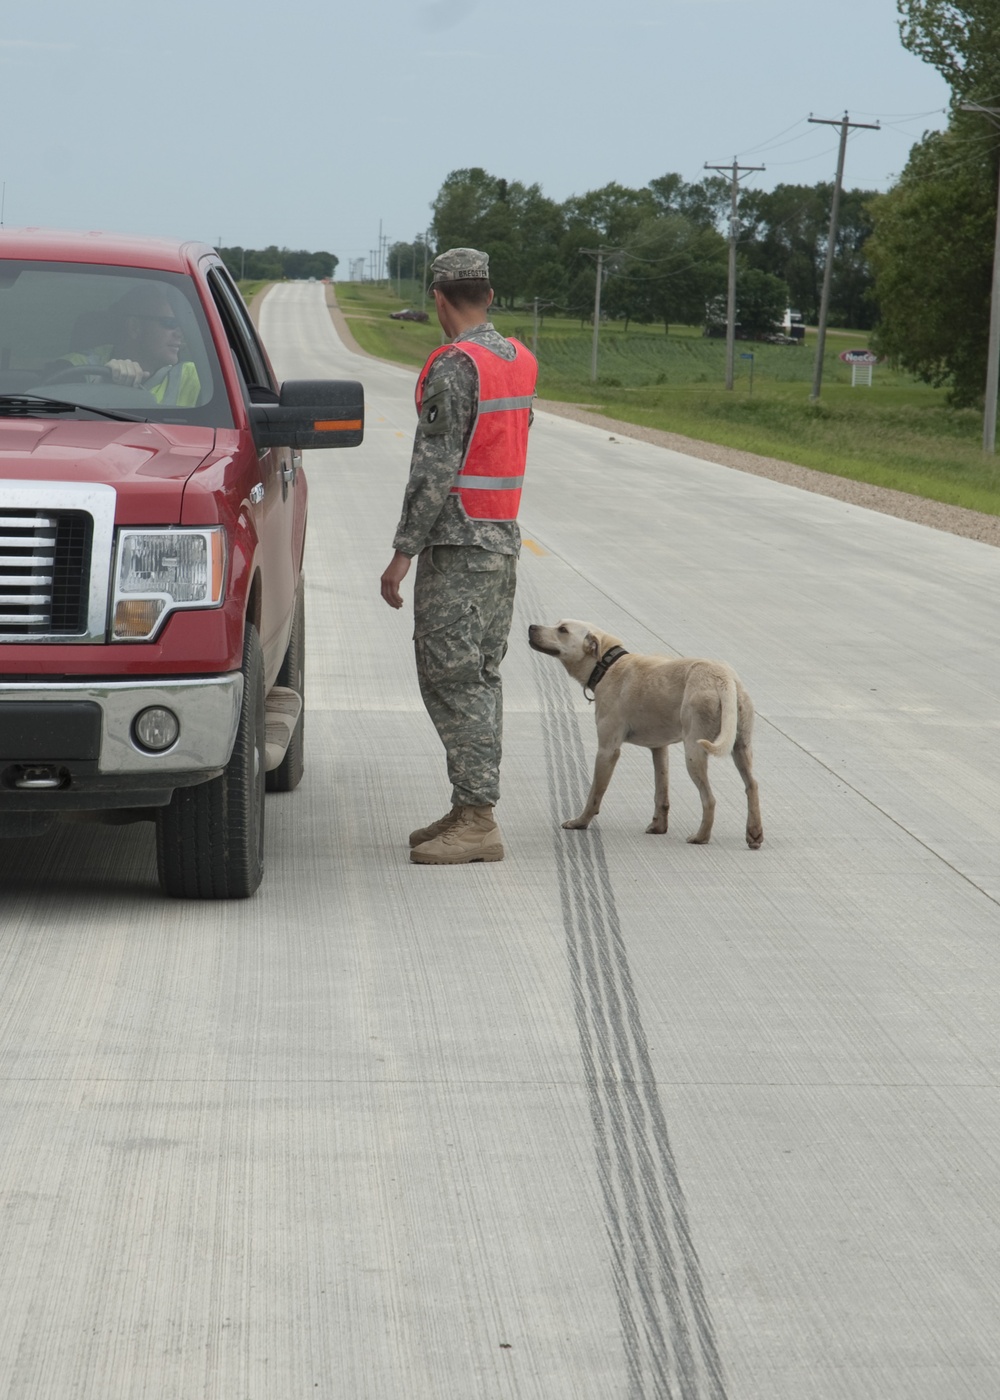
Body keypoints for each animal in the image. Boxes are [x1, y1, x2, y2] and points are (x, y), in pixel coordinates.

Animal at [526, 618, 761, 845]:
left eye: (563, 630)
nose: (531, 627)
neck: (607, 665)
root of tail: (723, 677)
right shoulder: (659, 748)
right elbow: (661, 792)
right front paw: (658, 826)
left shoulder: (607, 751)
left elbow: (595, 793)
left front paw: (580, 822)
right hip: (741, 747)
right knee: (752, 785)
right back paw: (754, 833)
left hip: (694, 752)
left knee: (709, 799)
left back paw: (700, 837)